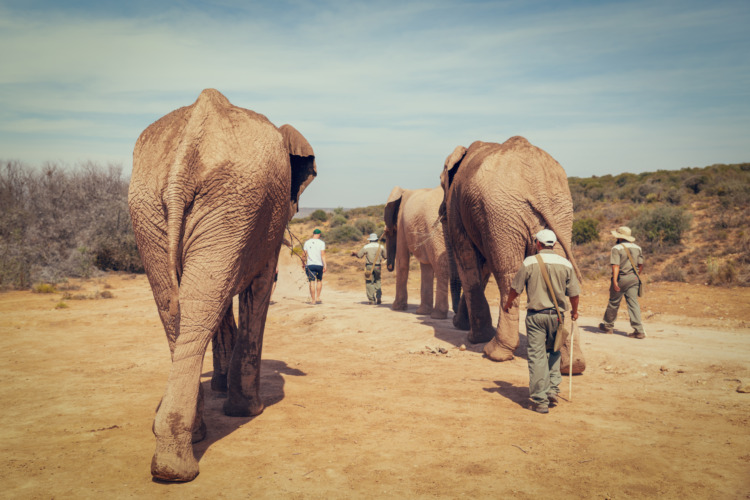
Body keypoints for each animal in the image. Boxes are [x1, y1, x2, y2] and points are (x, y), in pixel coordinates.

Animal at [129, 89, 318, 480]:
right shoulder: (263, 224)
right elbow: (259, 290)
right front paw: (248, 411)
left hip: (158, 207)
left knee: (179, 307)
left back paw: (177, 455)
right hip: (231, 202)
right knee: (198, 306)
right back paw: (180, 464)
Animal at [384, 186, 462, 318]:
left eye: (389, 233)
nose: (389, 267)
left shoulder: (401, 223)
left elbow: (402, 261)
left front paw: (396, 308)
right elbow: (425, 265)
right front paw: (422, 313)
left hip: (436, 230)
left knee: (441, 266)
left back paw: (438, 315)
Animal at [440, 135, 588, 374]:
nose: (454, 321)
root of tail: (538, 184)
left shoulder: (458, 207)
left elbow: (468, 260)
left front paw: (474, 337)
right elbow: (481, 267)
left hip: (501, 213)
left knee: (508, 274)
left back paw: (495, 353)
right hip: (557, 211)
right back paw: (573, 366)